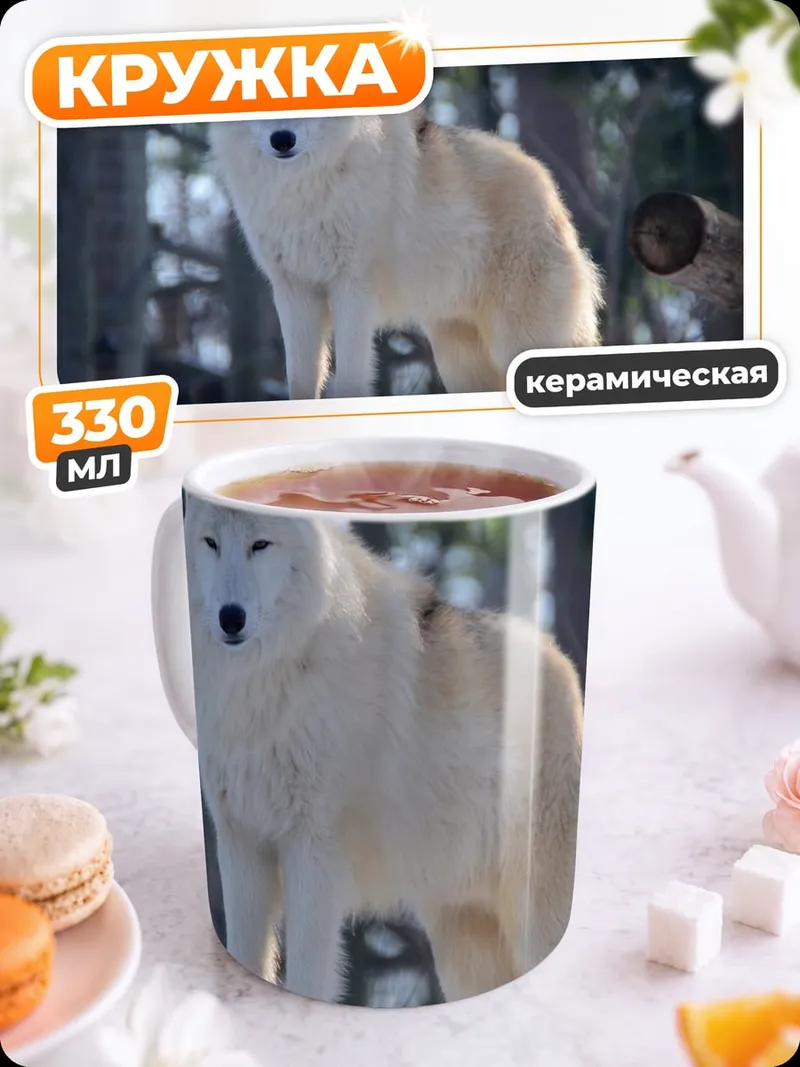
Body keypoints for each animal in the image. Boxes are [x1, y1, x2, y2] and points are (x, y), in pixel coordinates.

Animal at [183, 493, 584, 1004]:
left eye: (260, 544)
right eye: (210, 542)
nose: (230, 617)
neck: (263, 686)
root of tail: (561, 660)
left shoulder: (313, 851)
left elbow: (309, 975)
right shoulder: (241, 845)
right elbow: (245, 952)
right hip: (461, 938)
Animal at [208, 111, 603, 400]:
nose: (282, 140)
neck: (300, 191)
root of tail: (550, 192)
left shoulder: (353, 289)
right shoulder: (294, 291)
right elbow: (301, 383)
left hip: (517, 341)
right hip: (457, 357)